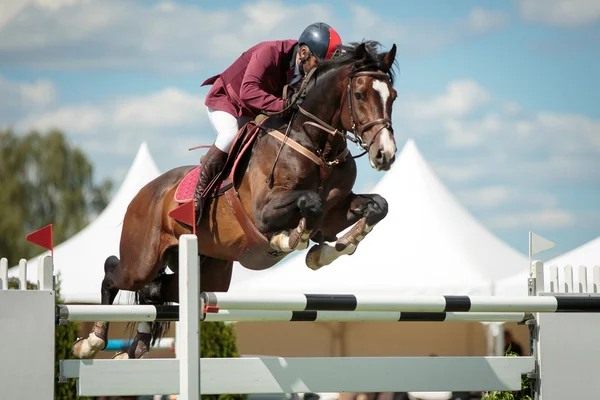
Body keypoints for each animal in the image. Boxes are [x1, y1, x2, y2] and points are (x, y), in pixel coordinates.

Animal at [71, 39, 398, 360]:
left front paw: (329, 251)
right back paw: (91, 342)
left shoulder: (335, 214)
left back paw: (134, 348)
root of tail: (142, 194)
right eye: (359, 94)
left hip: (208, 272)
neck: (316, 146)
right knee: (113, 271)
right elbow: (310, 204)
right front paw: (291, 240)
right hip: (142, 260)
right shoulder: (265, 211)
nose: (385, 155)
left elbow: (377, 206)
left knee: (154, 292)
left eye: (392, 96)